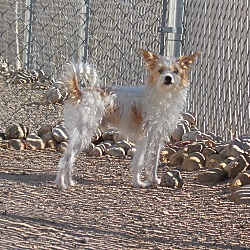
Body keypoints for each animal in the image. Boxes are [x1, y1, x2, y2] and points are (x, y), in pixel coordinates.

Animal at [54, 48, 199, 188]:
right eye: (160, 70)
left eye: (176, 71)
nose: (168, 78)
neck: (163, 96)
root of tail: (81, 93)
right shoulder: (145, 138)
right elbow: (140, 162)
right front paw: (138, 183)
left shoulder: (157, 138)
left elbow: (153, 162)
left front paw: (154, 180)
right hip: (83, 134)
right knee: (65, 159)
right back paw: (61, 184)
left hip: (82, 136)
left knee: (70, 159)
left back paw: (69, 181)